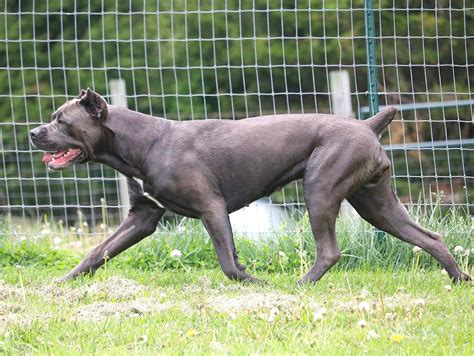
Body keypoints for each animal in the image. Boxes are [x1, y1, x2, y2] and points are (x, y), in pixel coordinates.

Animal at [30, 89, 470, 284]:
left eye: (61, 121)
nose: (34, 132)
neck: (143, 143)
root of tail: (366, 124)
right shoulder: (142, 217)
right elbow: (96, 252)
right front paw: (62, 282)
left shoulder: (211, 208)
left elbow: (228, 263)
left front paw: (255, 283)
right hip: (375, 202)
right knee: (429, 237)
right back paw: (458, 278)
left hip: (321, 190)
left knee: (329, 251)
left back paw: (300, 286)